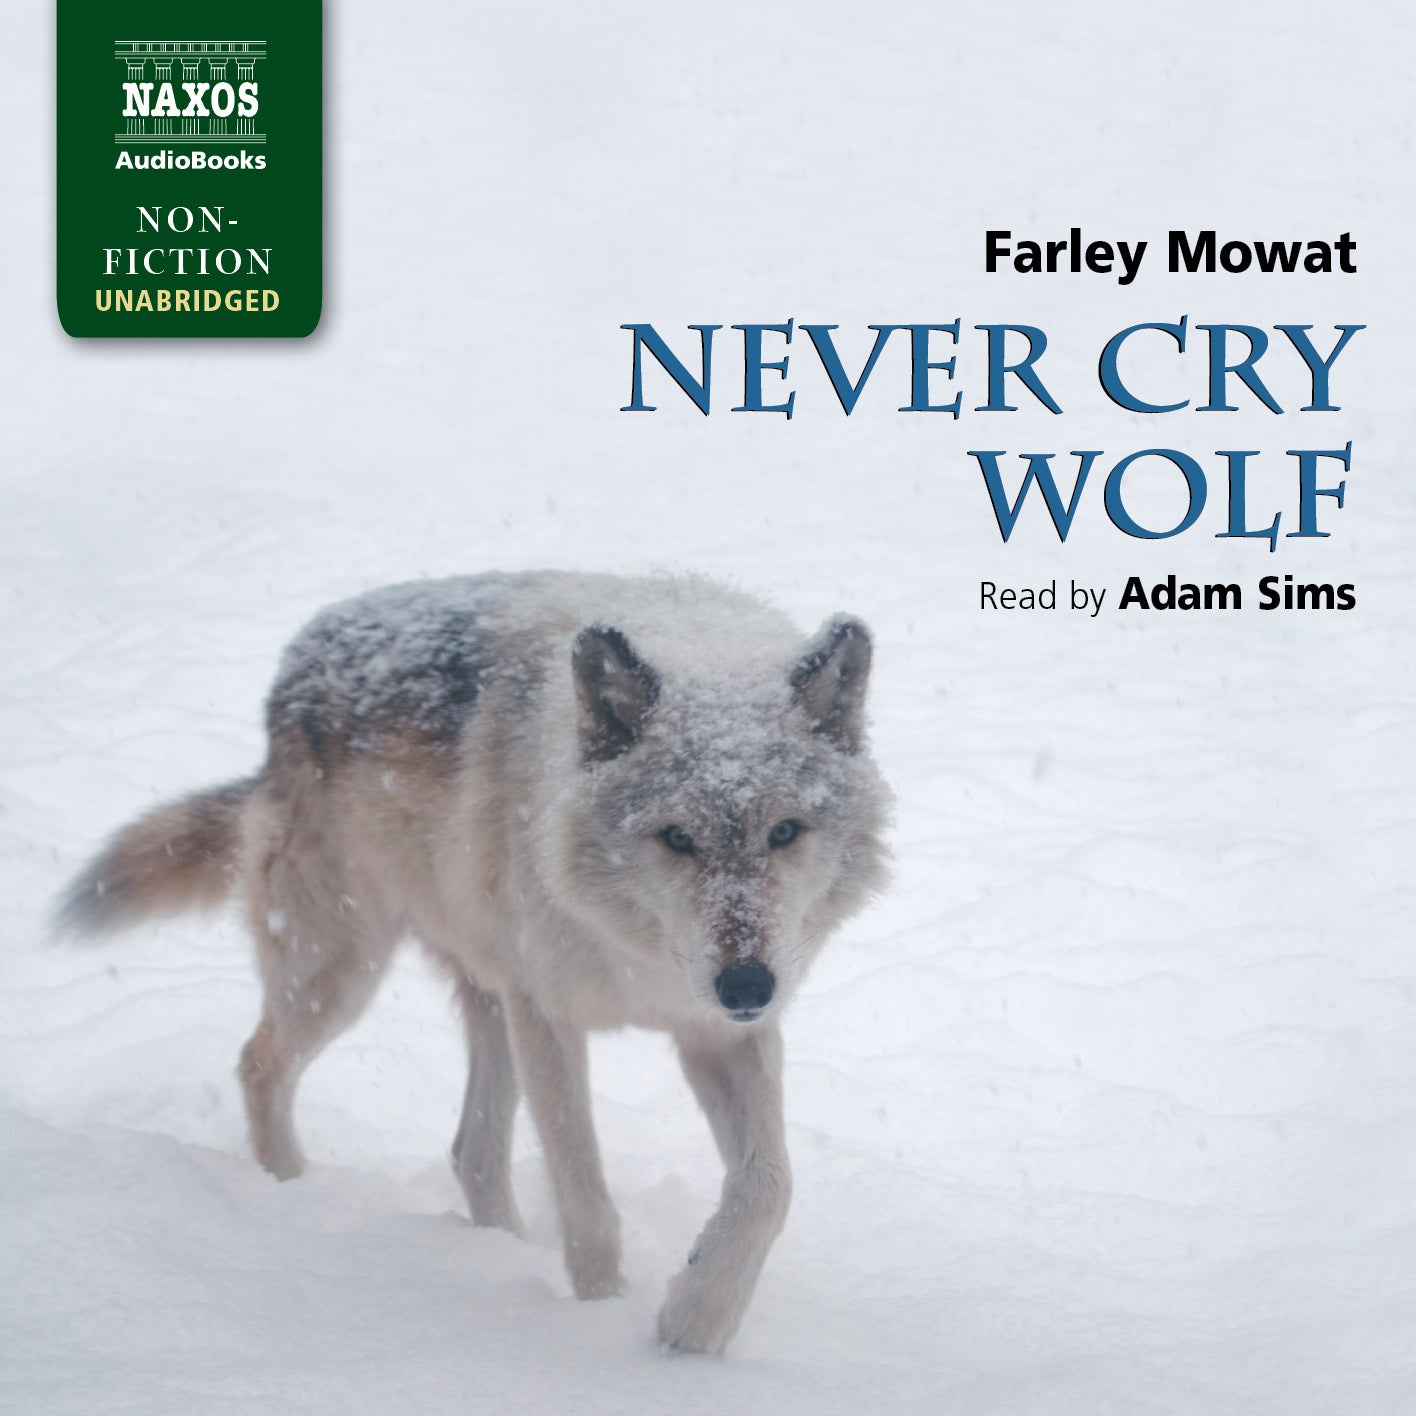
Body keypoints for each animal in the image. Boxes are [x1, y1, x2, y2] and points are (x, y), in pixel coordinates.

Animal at [55, 571, 891, 1353]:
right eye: (677, 838)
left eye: (785, 831)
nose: (748, 983)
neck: (636, 954)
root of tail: (293, 667)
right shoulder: (552, 1019)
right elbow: (588, 1203)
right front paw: (603, 1323)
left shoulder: (719, 1034)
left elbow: (768, 1188)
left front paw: (695, 1323)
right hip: (344, 972)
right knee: (260, 1064)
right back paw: (285, 1193)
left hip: (488, 1007)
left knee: (472, 1154)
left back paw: (502, 1254)